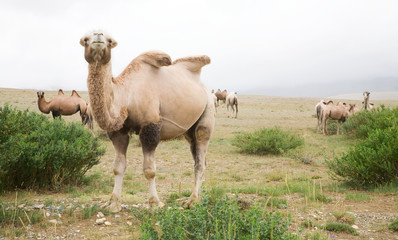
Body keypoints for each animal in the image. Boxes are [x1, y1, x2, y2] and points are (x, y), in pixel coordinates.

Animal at [80, 30, 215, 212]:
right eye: (85, 39)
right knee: (198, 158)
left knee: (201, 154)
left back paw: (192, 201)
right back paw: (194, 198)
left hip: (208, 112)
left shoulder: (150, 125)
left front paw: (154, 202)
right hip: (189, 130)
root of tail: (207, 90)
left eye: (110, 41)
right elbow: (118, 167)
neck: (126, 94)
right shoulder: (119, 131)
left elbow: (149, 170)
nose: (98, 36)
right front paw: (114, 203)